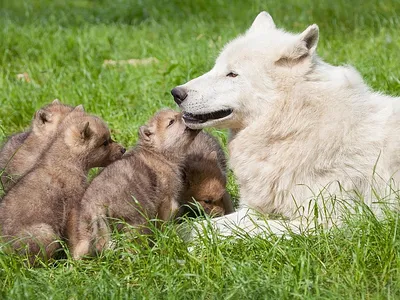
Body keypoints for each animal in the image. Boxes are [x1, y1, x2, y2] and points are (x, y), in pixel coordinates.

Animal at [172, 11, 400, 237]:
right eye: (215, 67)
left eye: (232, 74)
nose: (176, 93)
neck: (296, 125)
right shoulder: (254, 209)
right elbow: (208, 224)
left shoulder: (326, 222)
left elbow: (249, 230)